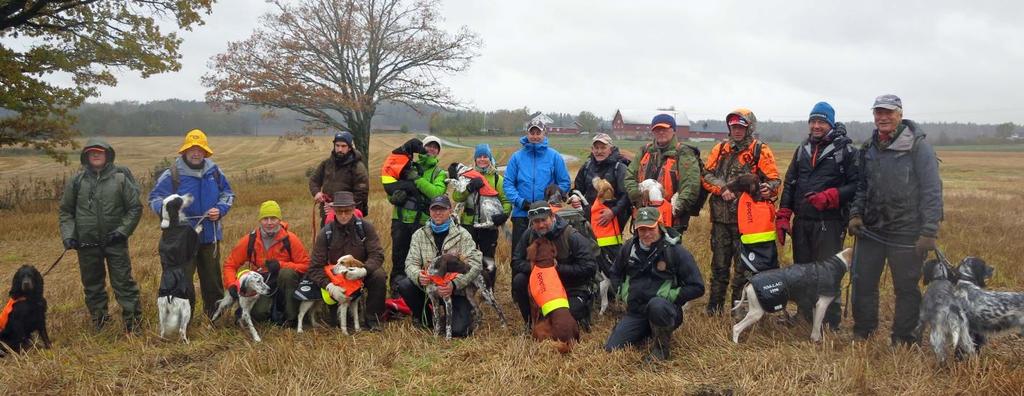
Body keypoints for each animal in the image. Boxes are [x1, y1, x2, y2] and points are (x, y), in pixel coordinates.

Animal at [154, 195, 198, 343]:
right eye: (179, 200)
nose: (190, 195)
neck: (171, 225)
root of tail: (169, 295)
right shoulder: (192, 238)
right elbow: (196, 231)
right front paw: (200, 226)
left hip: (162, 312)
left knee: (162, 330)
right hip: (186, 309)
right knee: (181, 330)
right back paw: (186, 342)